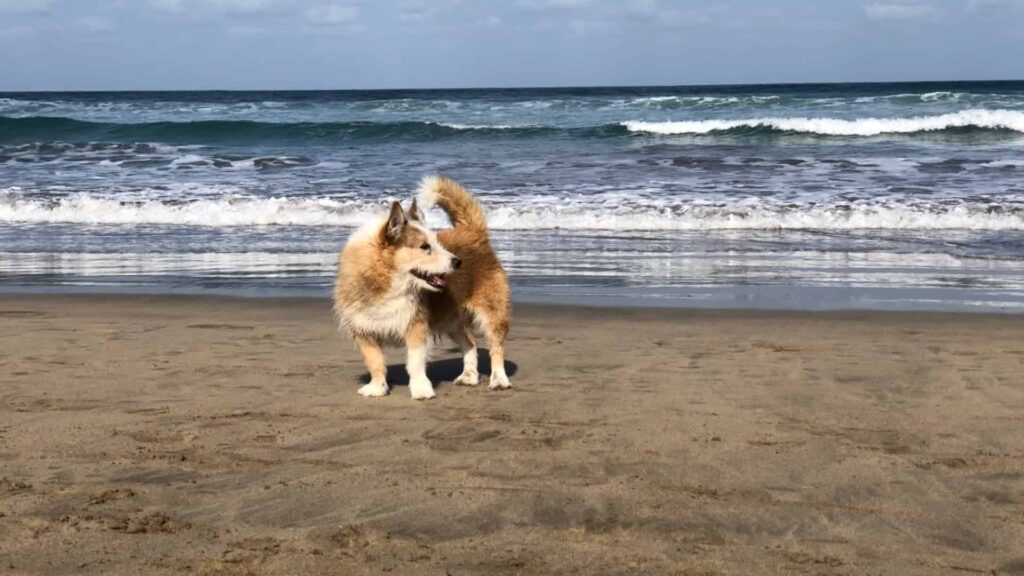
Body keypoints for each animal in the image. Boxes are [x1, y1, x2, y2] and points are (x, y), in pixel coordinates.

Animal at [333, 175, 512, 399]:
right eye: (425, 247)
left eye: (437, 243)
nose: (457, 262)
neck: (389, 283)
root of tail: (474, 232)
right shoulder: (365, 332)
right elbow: (375, 362)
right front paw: (377, 387)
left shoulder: (416, 326)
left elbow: (415, 362)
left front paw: (420, 389)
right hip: (451, 320)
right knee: (470, 344)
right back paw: (469, 375)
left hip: (491, 311)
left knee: (496, 346)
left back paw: (499, 379)